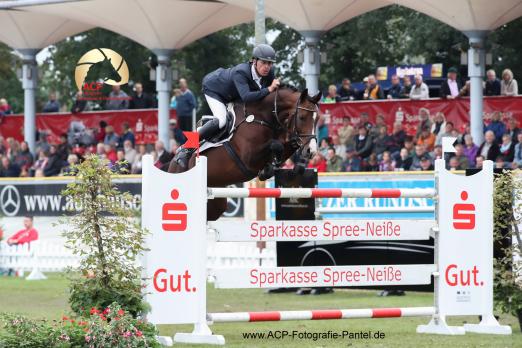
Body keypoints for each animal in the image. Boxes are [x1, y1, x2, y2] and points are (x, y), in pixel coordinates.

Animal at [169, 85, 318, 220]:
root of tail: (171, 164)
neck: (262, 117)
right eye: (302, 117)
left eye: (317, 119)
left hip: (216, 203)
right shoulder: (248, 158)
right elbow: (276, 145)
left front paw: (294, 166)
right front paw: (269, 169)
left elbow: (286, 146)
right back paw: (183, 155)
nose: (311, 150)